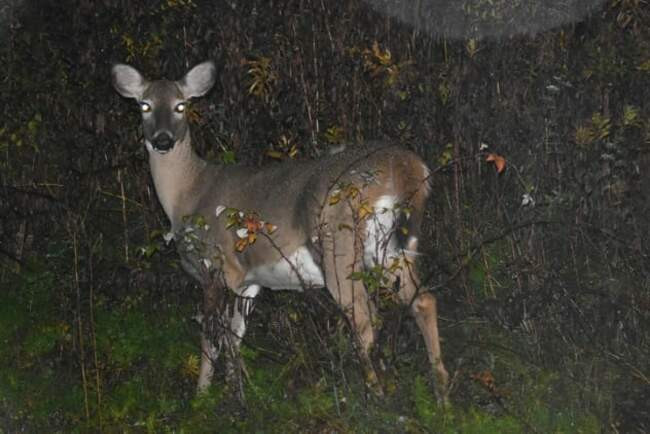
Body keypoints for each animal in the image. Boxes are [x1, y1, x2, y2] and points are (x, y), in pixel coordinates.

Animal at [111, 60, 446, 404]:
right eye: (144, 105)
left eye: (181, 106)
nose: (162, 140)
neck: (187, 193)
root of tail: (406, 167)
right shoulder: (248, 281)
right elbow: (235, 336)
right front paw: (236, 393)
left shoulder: (213, 265)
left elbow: (211, 337)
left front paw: (202, 398)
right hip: (391, 247)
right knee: (423, 301)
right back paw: (441, 395)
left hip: (338, 242)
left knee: (365, 319)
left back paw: (375, 397)